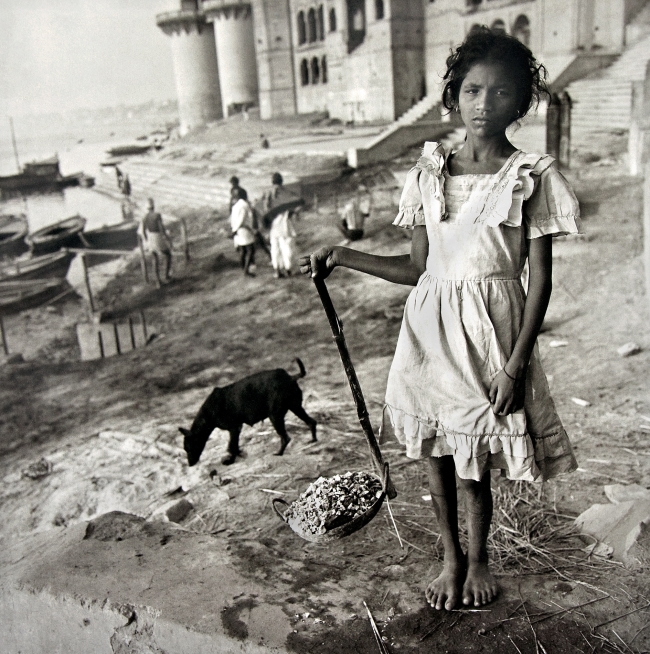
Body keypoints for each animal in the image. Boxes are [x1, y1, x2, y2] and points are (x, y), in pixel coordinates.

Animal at [180, 358, 316, 466]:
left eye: (189, 448)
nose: (190, 464)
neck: (208, 414)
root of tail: (290, 377)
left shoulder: (234, 428)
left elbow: (232, 447)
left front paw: (231, 460)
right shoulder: (236, 429)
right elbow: (234, 446)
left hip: (275, 416)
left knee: (285, 438)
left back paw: (279, 453)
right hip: (296, 408)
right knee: (311, 422)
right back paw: (313, 441)